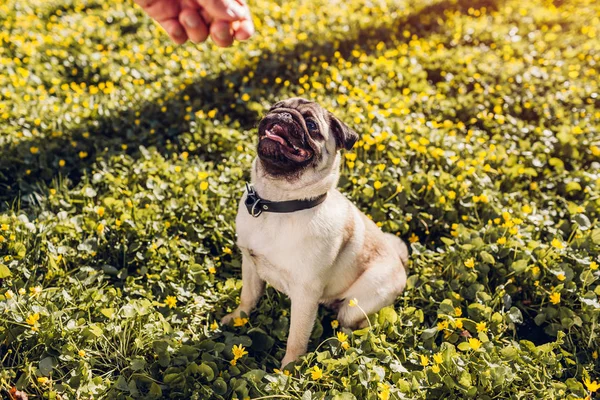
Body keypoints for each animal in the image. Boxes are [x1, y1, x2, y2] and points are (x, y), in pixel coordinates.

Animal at [220, 98, 408, 368]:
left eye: (311, 125)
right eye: (275, 106)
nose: (285, 114)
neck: (277, 203)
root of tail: (399, 261)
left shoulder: (305, 295)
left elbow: (296, 339)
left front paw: (288, 370)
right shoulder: (250, 264)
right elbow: (248, 298)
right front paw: (237, 319)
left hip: (356, 305)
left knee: (359, 323)